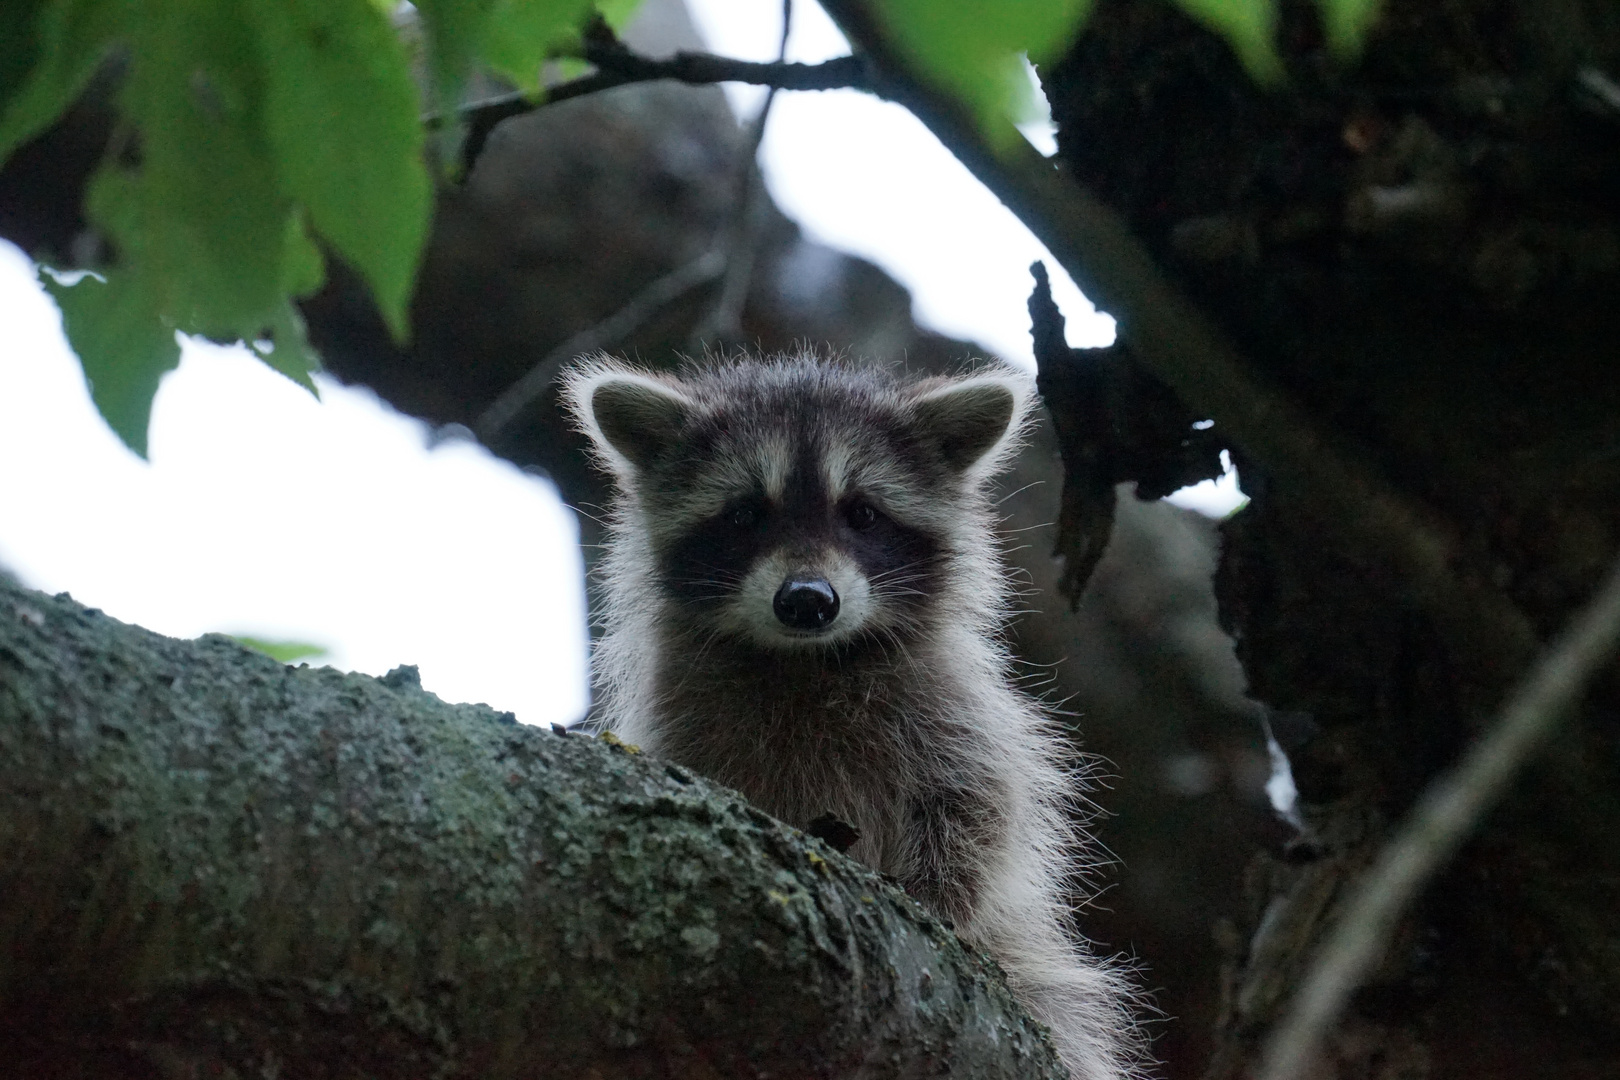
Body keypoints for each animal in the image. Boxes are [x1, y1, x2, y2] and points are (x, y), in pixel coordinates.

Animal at [563, 351, 1146, 1075]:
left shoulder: (949, 706)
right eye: (746, 514)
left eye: (862, 514)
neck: (805, 659)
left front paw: (937, 899)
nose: (808, 600)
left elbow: (974, 809)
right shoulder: (687, 720)